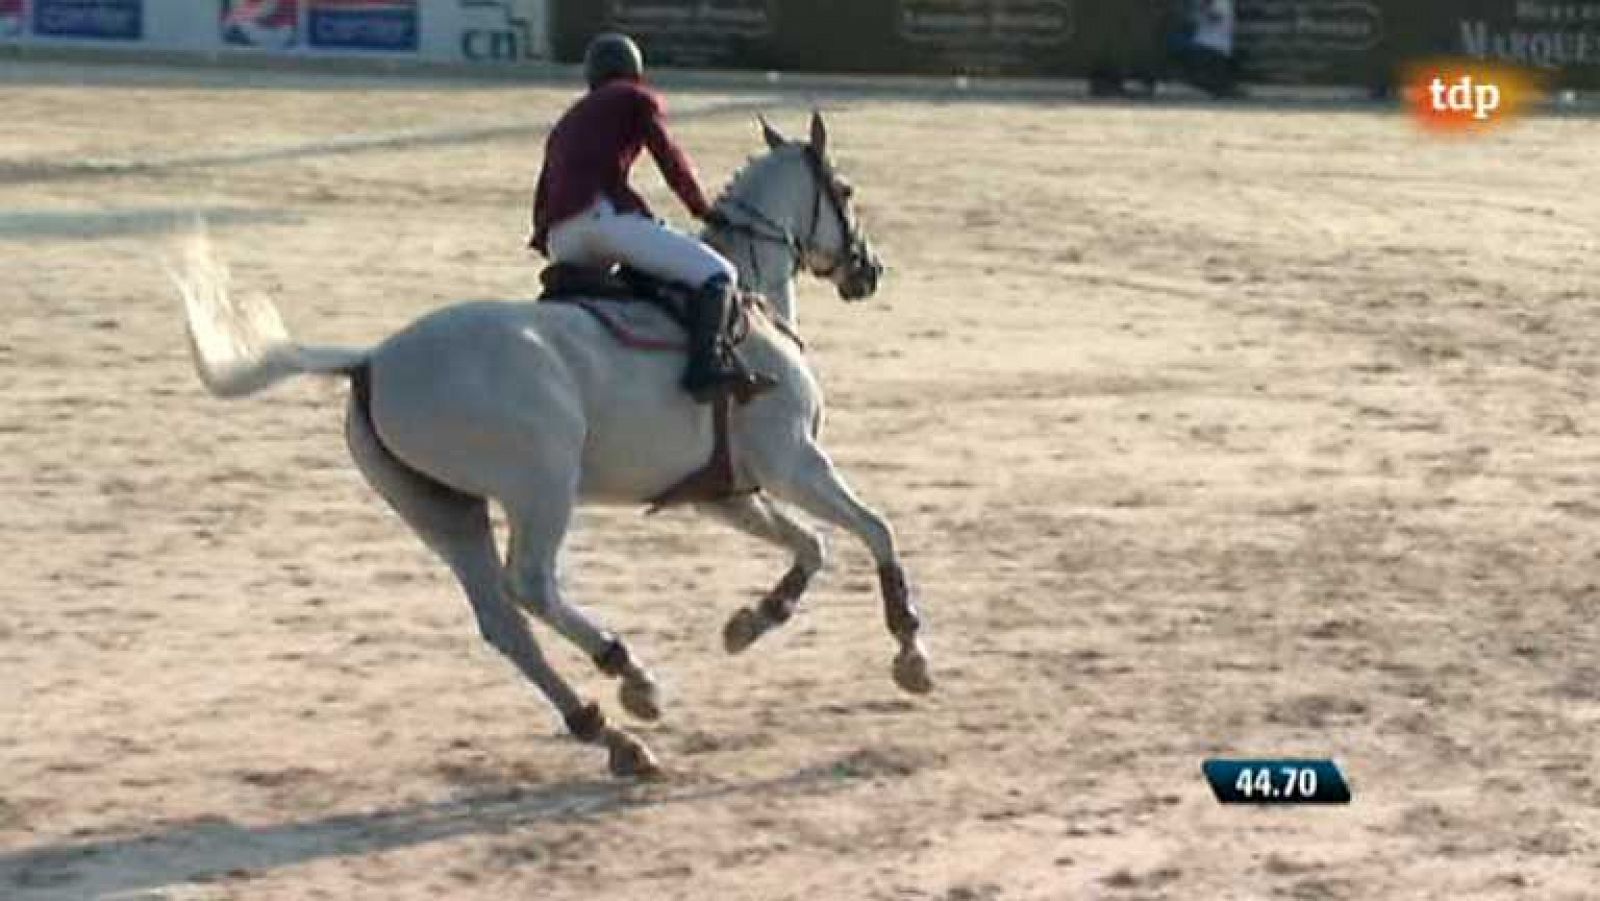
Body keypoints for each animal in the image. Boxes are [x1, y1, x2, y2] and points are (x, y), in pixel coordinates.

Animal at [175, 111, 934, 774]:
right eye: (845, 191)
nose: (869, 271)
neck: (747, 291)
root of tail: (371, 362)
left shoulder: (724, 492)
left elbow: (813, 546)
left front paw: (751, 622)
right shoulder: (793, 461)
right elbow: (874, 529)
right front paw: (909, 651)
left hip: (444, 511)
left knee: (502, 621)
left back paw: (611, 736)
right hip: (542, 484)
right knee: (532, 586)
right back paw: (632, 677)